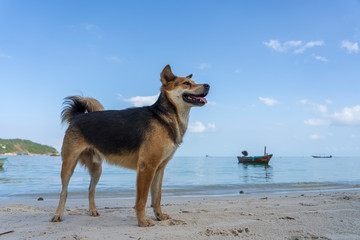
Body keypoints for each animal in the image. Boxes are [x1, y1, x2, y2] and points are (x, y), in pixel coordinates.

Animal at [50, 65, 208, 227]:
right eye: (186, 83)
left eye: (193, 82)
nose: (208, 85)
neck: (164, 116)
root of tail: (78, 116)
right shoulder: (147, 167)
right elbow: (142, 200)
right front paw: (142, 221)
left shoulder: (159, 169)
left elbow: (157, 197)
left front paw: (159, 216)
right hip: (68, 165)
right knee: (64, 192)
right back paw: (58, 214)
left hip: (96, 169)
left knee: (90, 189)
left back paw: (92, 210)